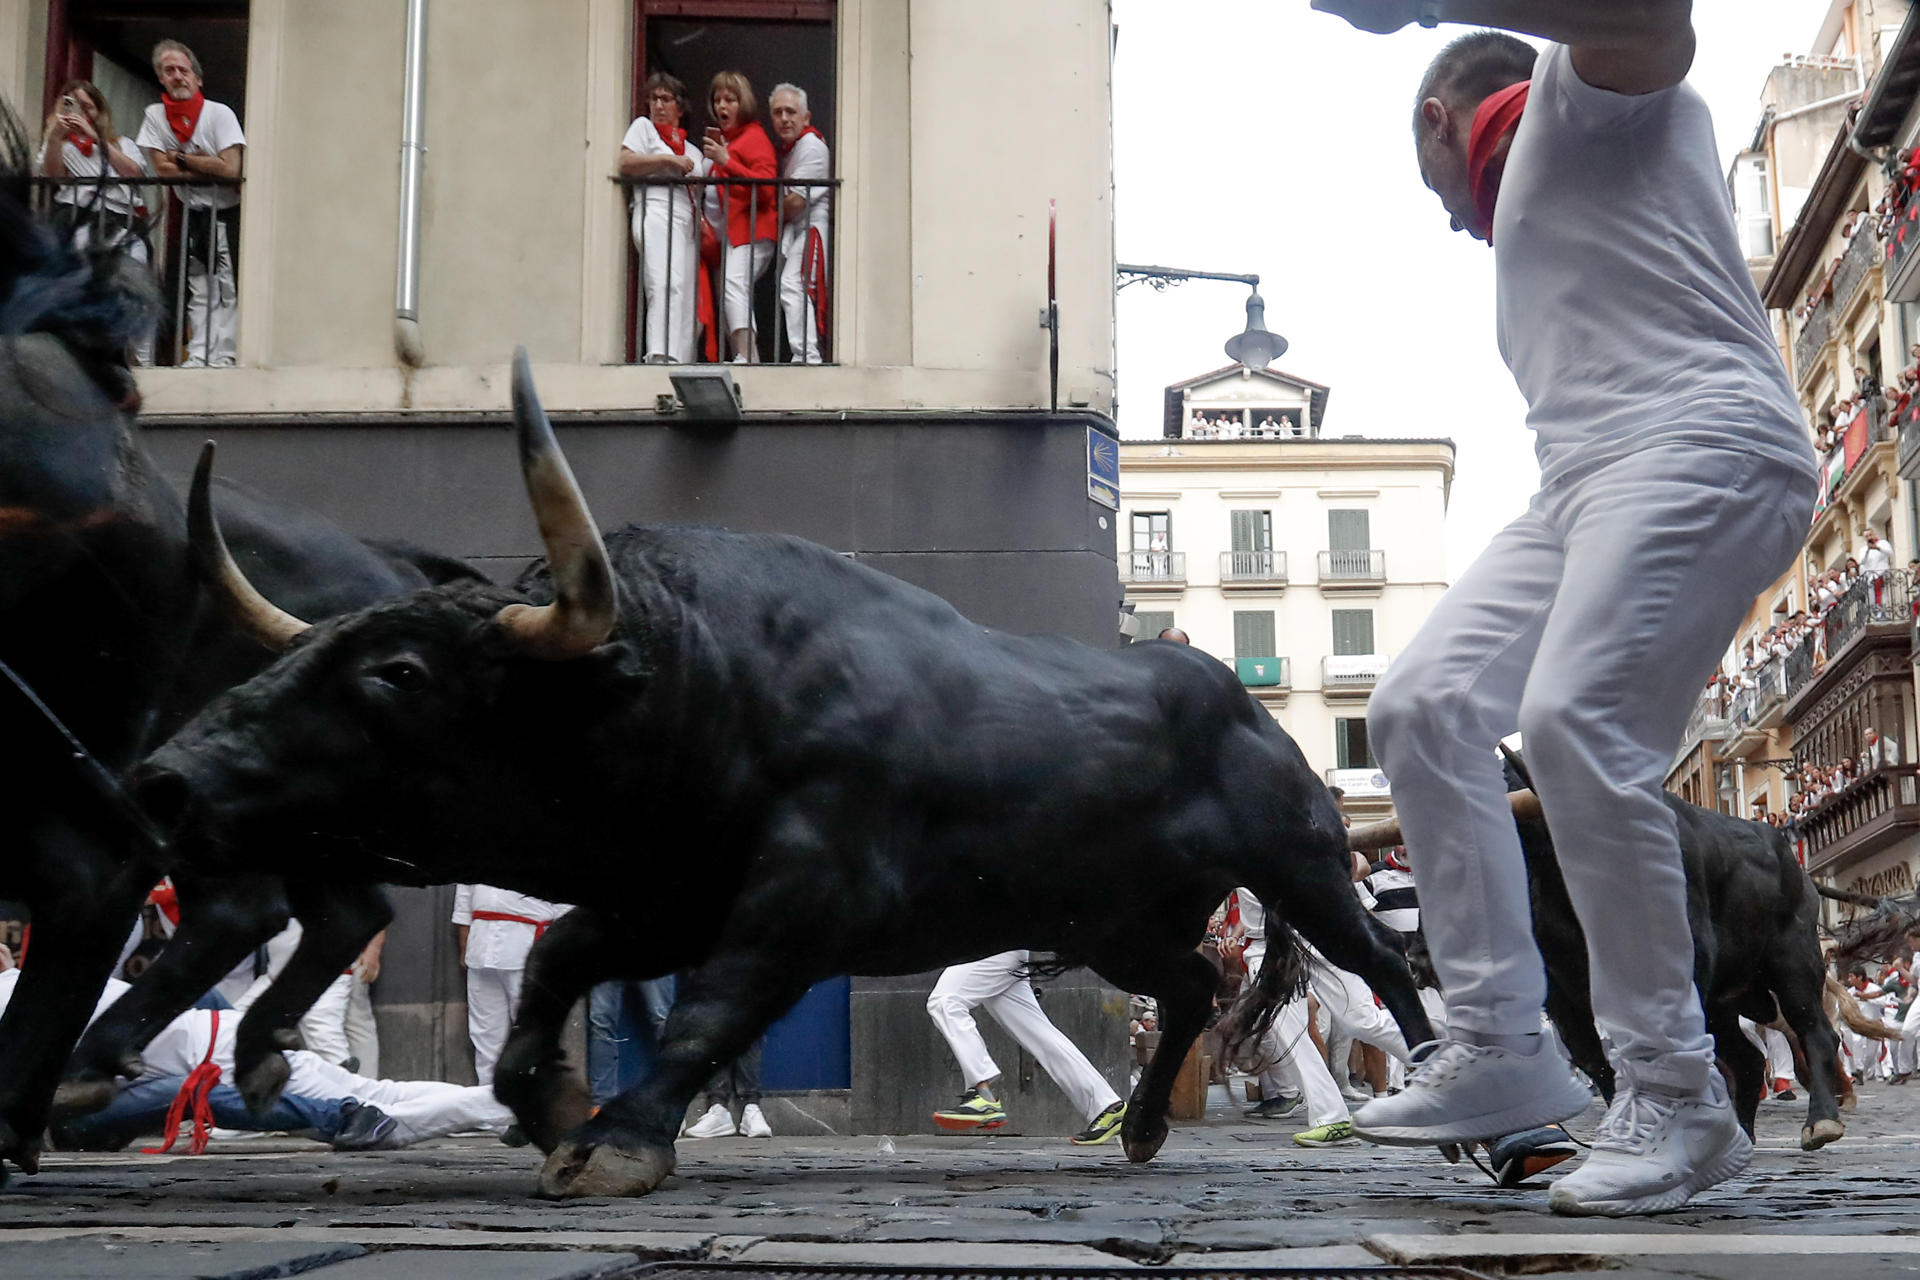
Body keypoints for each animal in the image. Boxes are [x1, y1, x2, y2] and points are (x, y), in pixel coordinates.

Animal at [135, 351, 1436, 1205]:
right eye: (305, 648)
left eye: (398, 672)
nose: (166, 780)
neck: (704, 678)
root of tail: (1234, 701)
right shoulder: (664, 894)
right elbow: (559, 961)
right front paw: (546, 1100)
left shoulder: (804, 898)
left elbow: (712, 1006)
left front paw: (618, 1132)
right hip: (1108, 918)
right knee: (1191, 985)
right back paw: (1150, 1123)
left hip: (1301, 863)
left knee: (1376, 957)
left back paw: (1428, 1078)